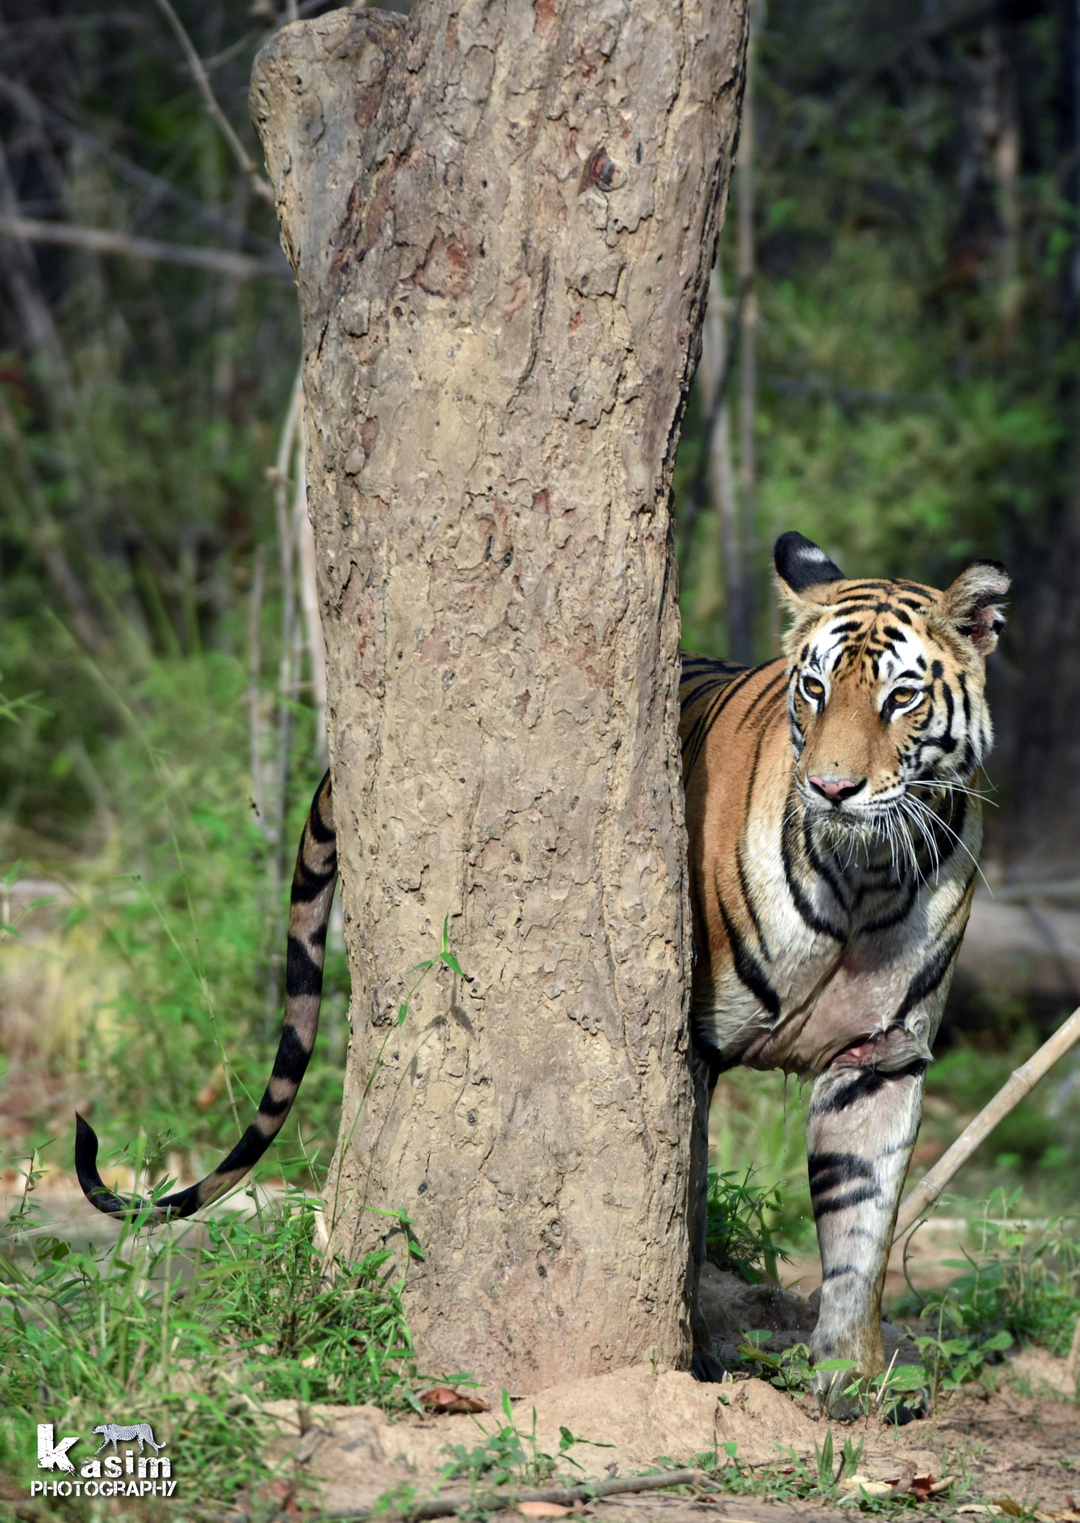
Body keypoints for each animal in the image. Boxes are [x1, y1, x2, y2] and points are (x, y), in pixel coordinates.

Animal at [74, 530, 1008, 1413]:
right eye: (814, 689)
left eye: (900, 697)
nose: (831, 787)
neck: (865, 875)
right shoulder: (693, 1049)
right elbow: (684, 1212)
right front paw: (696, 1356)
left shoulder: (880, 1058)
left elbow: (862, 1234)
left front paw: (852, 1381)